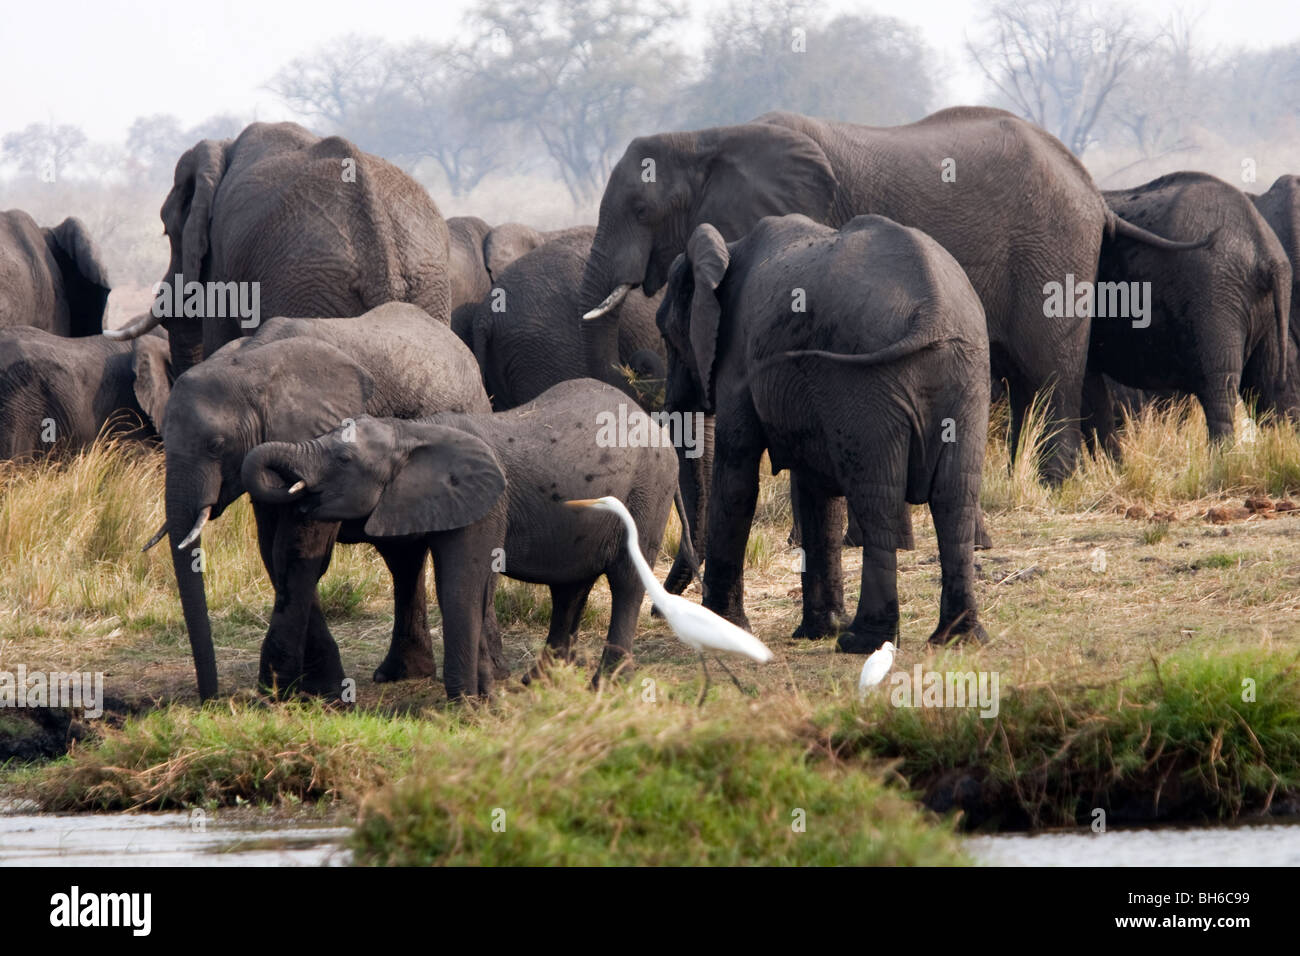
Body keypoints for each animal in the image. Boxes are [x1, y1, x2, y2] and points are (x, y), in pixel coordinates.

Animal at [107, 126, 452, 377]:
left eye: (167, 232)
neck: (224, 148)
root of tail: (381, 252)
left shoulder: (222, 262)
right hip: (424, 285)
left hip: (306, 285)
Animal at [148, 303, 491, 697]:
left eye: (216, 445)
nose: (211, 698)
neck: (251, 364)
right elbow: (272, 551)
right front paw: (307, 686)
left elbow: (298, 551)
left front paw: (292, 690)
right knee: (402, 557)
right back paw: (400, 673)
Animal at [246, 377, 686, 697]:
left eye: (343, 459)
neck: (413, 431)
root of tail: (654, 424)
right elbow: (472, 587)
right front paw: (487, 694)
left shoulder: (486, 505)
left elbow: (460, 585)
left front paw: (465, 703)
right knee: (570, 588)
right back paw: (539, 683)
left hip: (649, 492)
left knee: (626, 581)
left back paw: (606, 687)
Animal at [579, 108, 1206, 486]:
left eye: (641, 210)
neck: (705, 138)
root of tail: (1093, 191)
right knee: (1035, 374)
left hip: (1053, 248)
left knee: (1048, 370)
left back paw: (1049, 485)